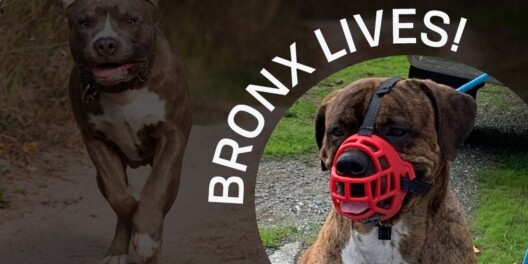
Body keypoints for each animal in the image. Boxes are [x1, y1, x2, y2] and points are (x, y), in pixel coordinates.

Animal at [60, 1, 192, 262]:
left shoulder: (171, 137)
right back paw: (117, 252)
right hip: (100, 176)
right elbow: (119, 196)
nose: (105, 43)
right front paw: (133, 209)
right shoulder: (96, 140)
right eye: (84, 22)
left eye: (131, 20)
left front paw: (147, 235)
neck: (125, 88)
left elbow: (156, 185)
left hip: (176, 178)